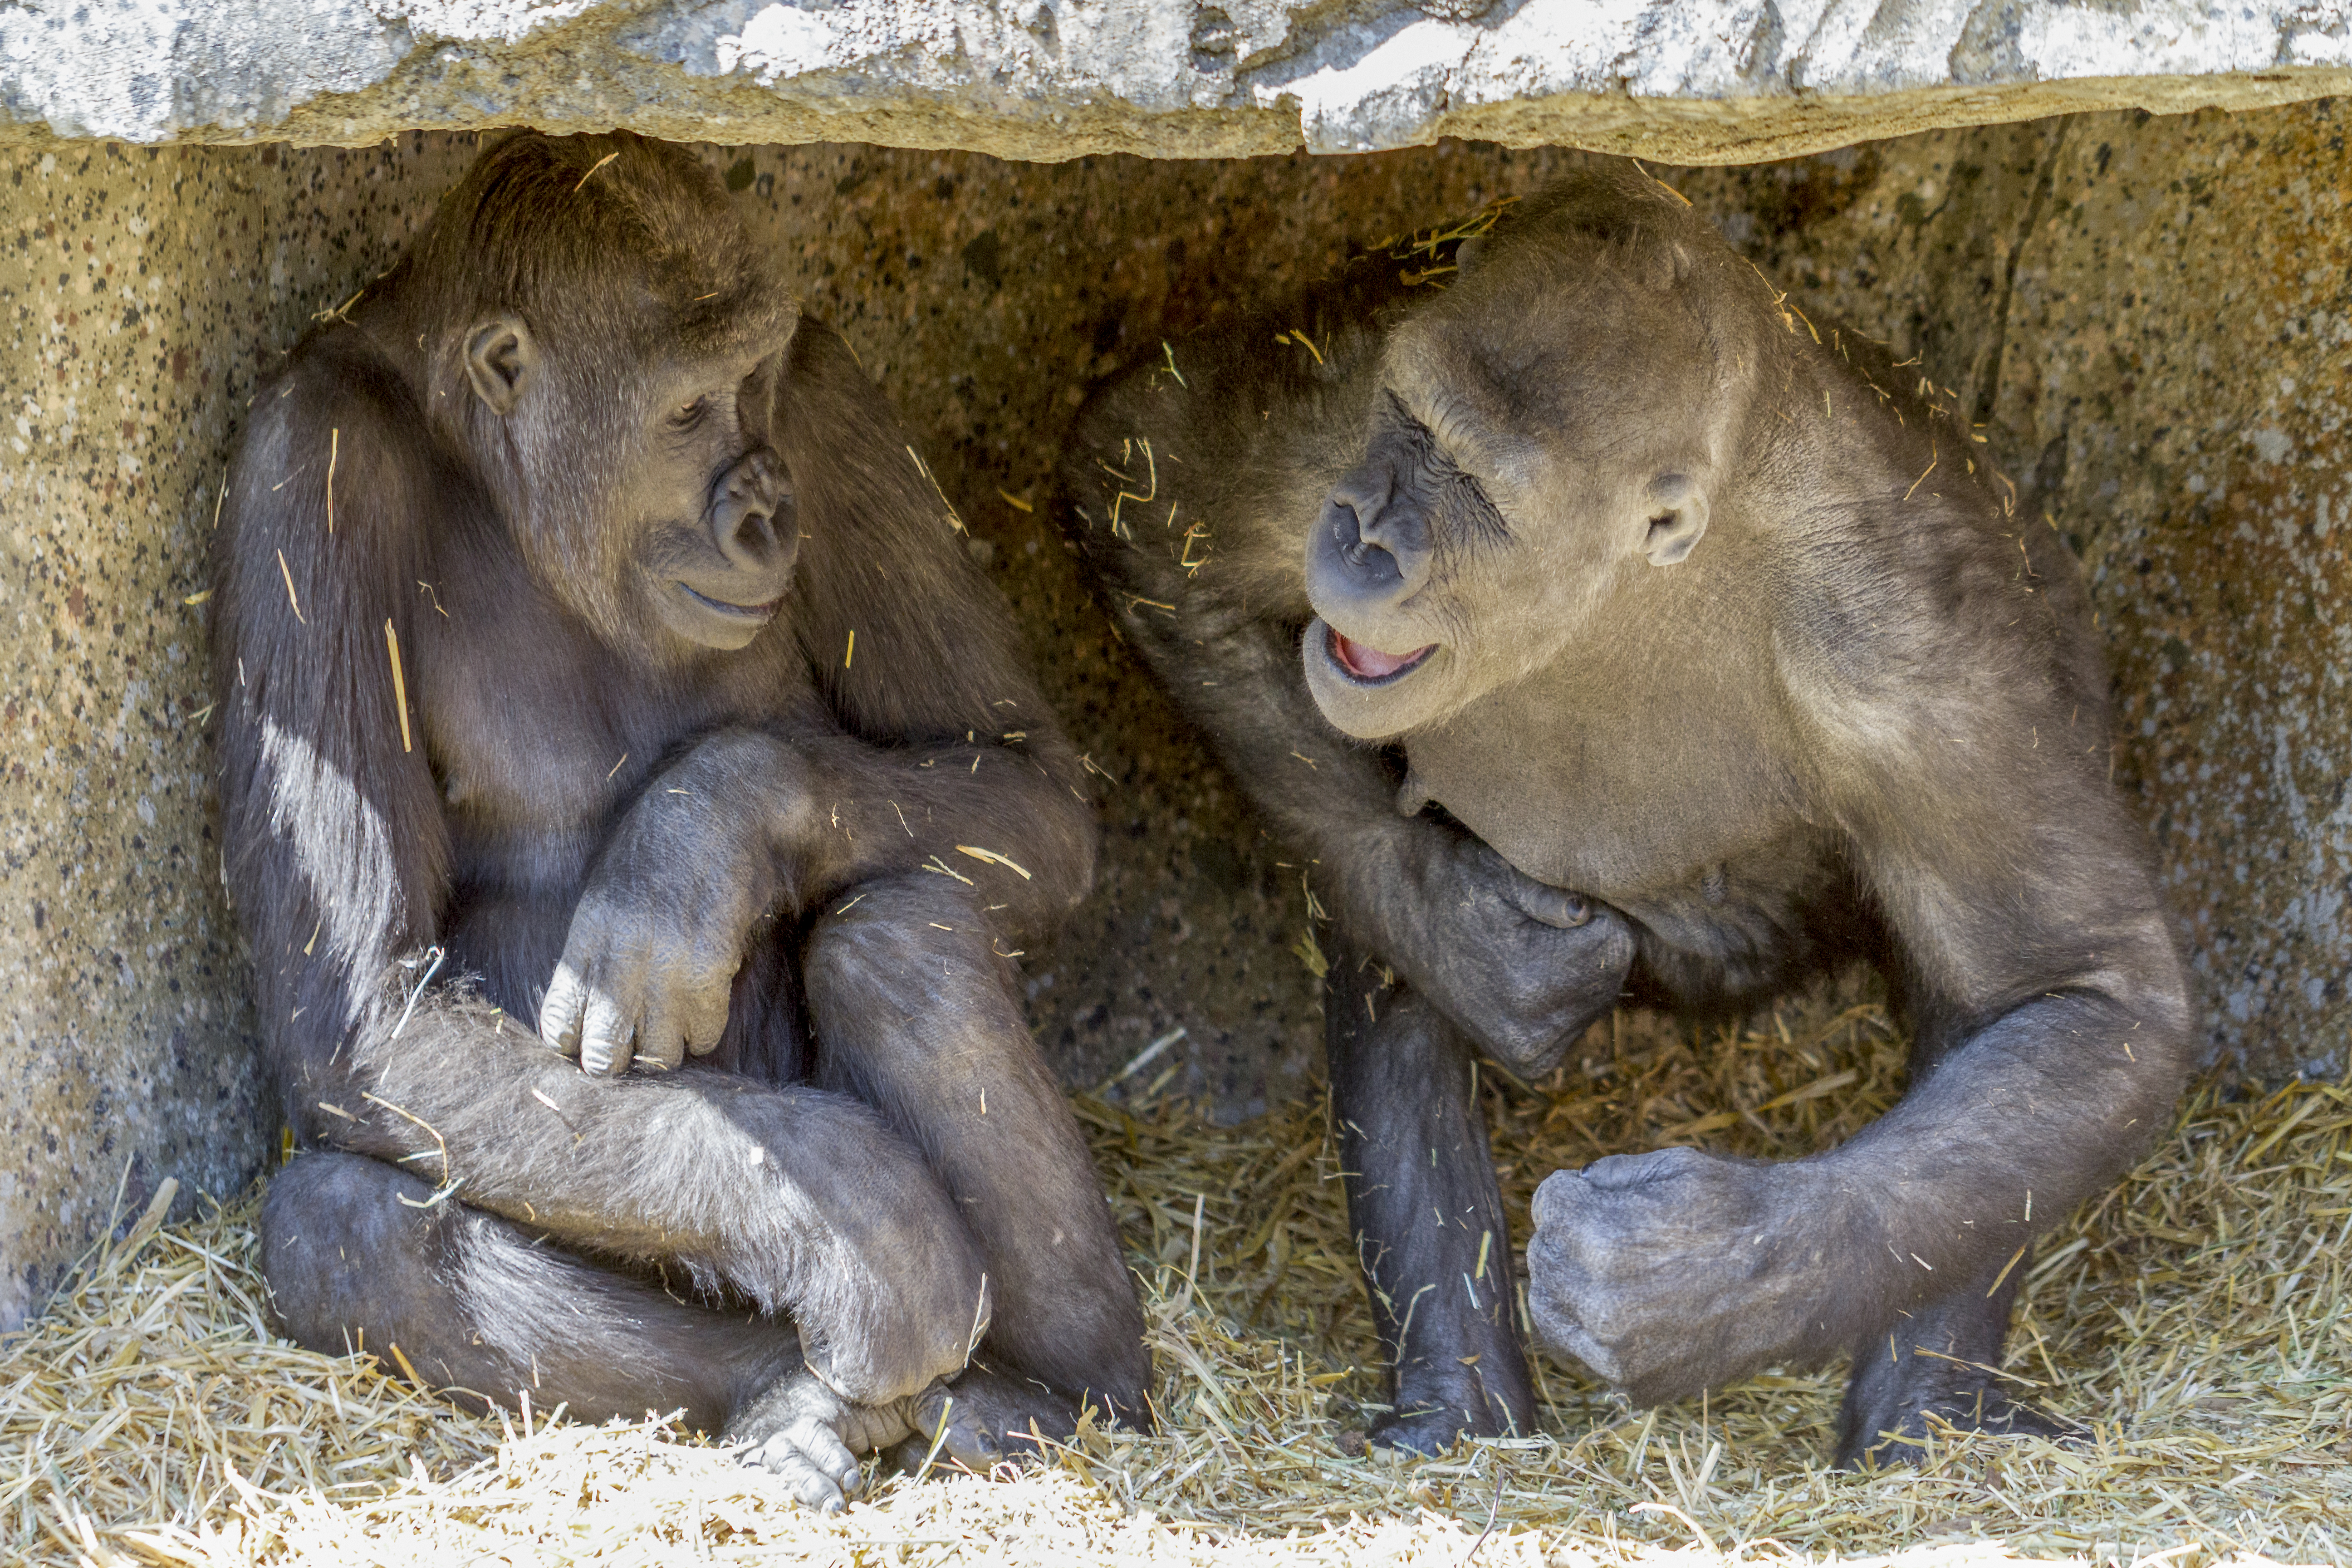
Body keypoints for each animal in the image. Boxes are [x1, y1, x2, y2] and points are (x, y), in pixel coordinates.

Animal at [209, 131, 1145, 1511]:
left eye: (752, 385)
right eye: (690, 410)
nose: (763, 510)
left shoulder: (828, 399)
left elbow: (1030, 780)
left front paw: (695, 838)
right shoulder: (301, 466)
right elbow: (364, 1014)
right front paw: (858, 1219)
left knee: (902, 937)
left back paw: (1051, 1393)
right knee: (339, 1224)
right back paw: (785, 1399)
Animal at [1059, 164, 2190, 1467]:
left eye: (1480, 490)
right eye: (1407, 424)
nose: (1365, 534)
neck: (1633, 581)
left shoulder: (1922, 664)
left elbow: (2085, 994)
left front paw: (1707, 1275)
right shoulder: (1336, 398)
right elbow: (1146, 489)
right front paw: (1482, 946)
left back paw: (1927, 1414)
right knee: (1385, 926)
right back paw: (1457, 1399)